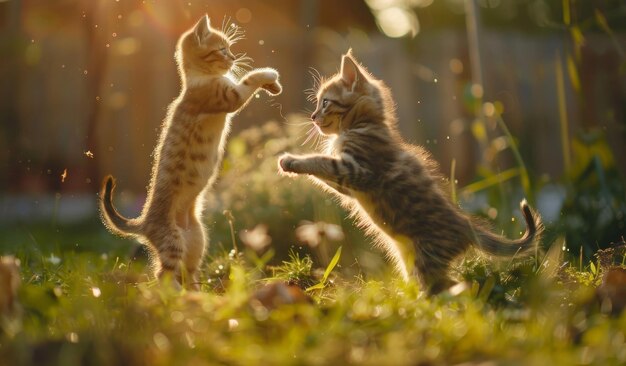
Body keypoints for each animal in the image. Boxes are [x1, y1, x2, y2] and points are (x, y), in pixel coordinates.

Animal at [99, 15, 280, 288]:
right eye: (222, 49)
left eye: (229, 48)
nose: (233, 58)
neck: (200, 79)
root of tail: (144, 222)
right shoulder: (229, 97)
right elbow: (249, 79)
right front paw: (268, 73)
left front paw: (273, 86)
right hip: (172, 240)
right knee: (163, 275)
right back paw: (175, 295)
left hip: (197, 239)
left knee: (188, 272)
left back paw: (198, 293)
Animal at [278, 50, 540, 296]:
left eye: (325, 102)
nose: (313, 117)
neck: (364, 124)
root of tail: (465, 225)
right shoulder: (348, 184)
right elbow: (325, 174)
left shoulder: (357, 170)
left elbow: (321, 161)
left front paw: (290, 161)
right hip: (412, 259)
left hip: (427, 259)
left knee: (448, 289)